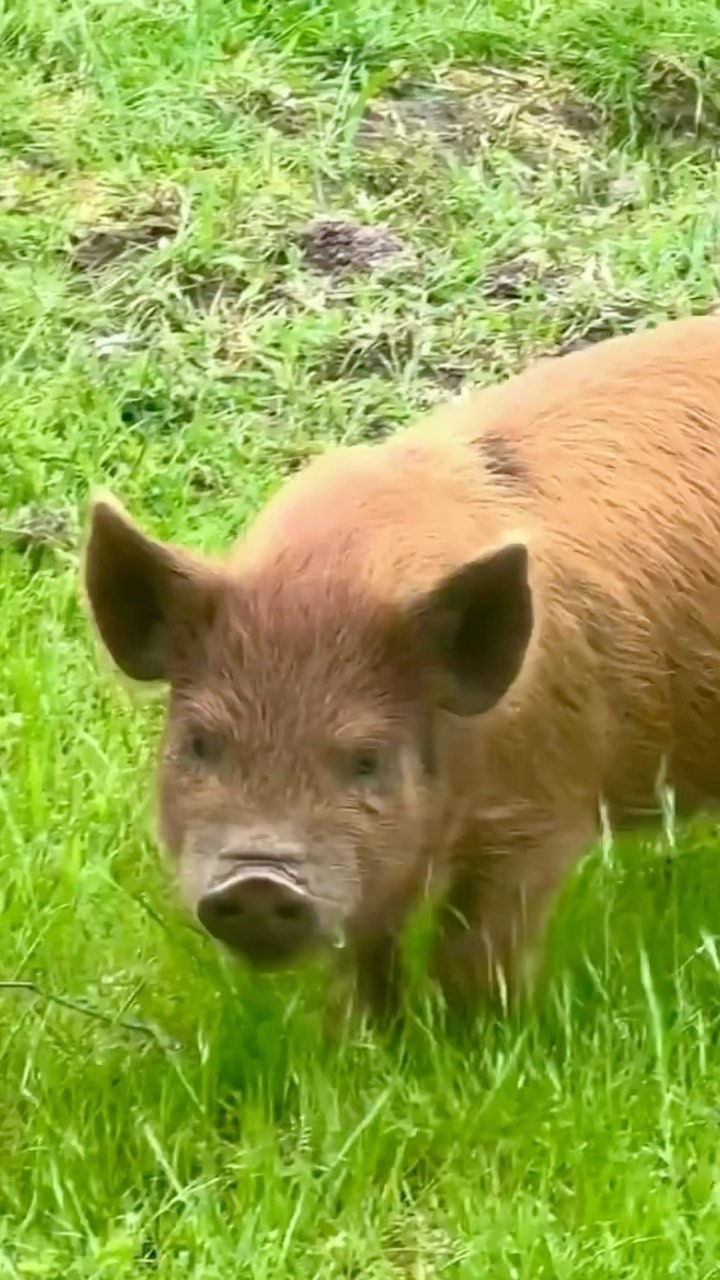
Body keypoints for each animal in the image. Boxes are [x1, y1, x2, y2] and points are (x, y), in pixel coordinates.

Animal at [84, 315, 720, 1022]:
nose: (257, 881)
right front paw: (361, 1036)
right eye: (199, 743)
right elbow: (365, 953)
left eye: (367, 759)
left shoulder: (542, 810)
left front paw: (480, 1036)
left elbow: (476, 950)